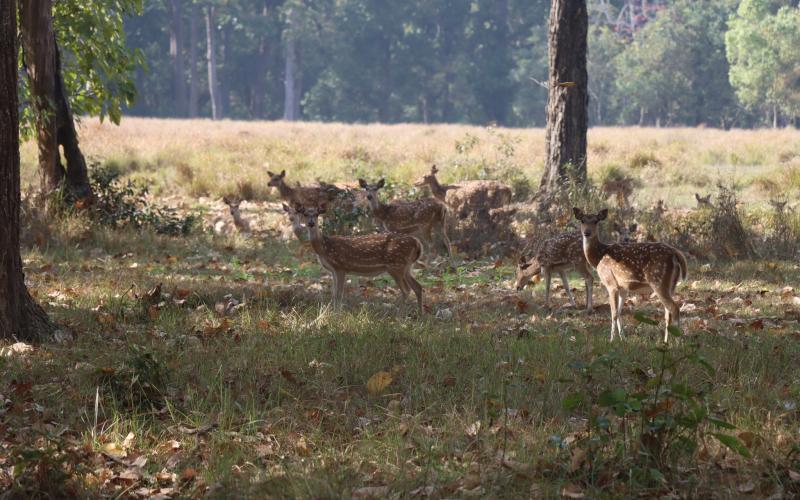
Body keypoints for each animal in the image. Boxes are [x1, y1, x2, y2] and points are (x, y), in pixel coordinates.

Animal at [296, 205, 424, 310]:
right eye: (305, 214)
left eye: (317, 214)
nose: (311, 223)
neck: (324, 248)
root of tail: (417, 243)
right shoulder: (333, 270)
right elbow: (333, 293)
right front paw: (332, 313)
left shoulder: (341, 266)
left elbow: (339, 294)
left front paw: (336, 316)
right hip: (406, 266)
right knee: (418, 287)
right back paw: (420, 315)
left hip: (395, 265)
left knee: (406, 290)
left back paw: (398, 315)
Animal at [576, 208, 688, 344]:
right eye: (582, 220)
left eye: (596, 221)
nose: (587, 232)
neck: (599, 257)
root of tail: (676, 253)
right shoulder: (623, 288)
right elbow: (619, 312)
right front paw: (623, 339)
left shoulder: (610, 283)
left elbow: (613, 313)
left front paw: (611, 340)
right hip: (671, 285)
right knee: (668, 312)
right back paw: (666, 342)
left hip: (658, 280)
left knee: (674, 308)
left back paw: (678, 342)